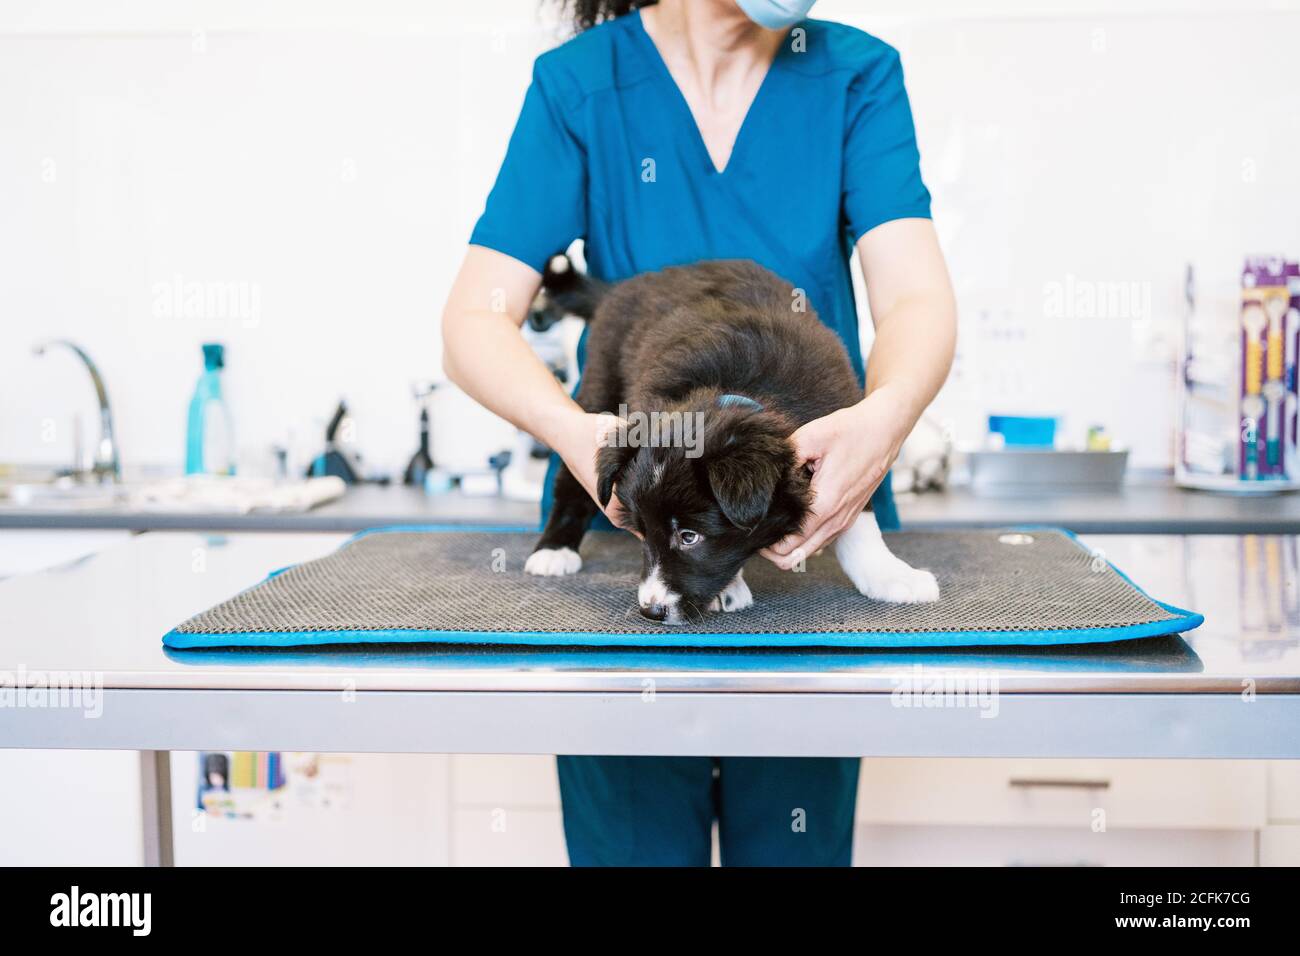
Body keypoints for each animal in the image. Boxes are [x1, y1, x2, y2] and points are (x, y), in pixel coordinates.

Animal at [522, 257, 941, 624]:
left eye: (689, 537)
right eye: (641, 531)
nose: (651, 611)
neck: (738, 393)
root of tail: (624, 287)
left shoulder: (844, 435)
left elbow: (859, 520)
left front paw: (890, 575)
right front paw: (729, 589)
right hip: (601, 384)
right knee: (571, 479)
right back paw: (554, 549)